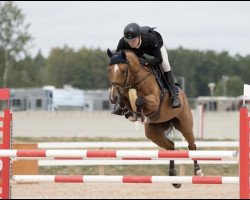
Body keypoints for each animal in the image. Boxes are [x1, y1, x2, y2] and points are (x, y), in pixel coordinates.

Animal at [107, 48, 203, 188]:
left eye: (124, 71)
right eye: (109, 70)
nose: (112, 97)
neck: (135, 80)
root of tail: (182, 93)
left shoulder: (154, 102)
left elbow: (140, 100)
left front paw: (139, 113)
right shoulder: (124, 94)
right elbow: (126, 102)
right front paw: (129, 112)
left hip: (184, 125)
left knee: (192, 145)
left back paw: (198, 171)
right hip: (153, 133)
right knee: (171, 146)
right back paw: (174, 178)